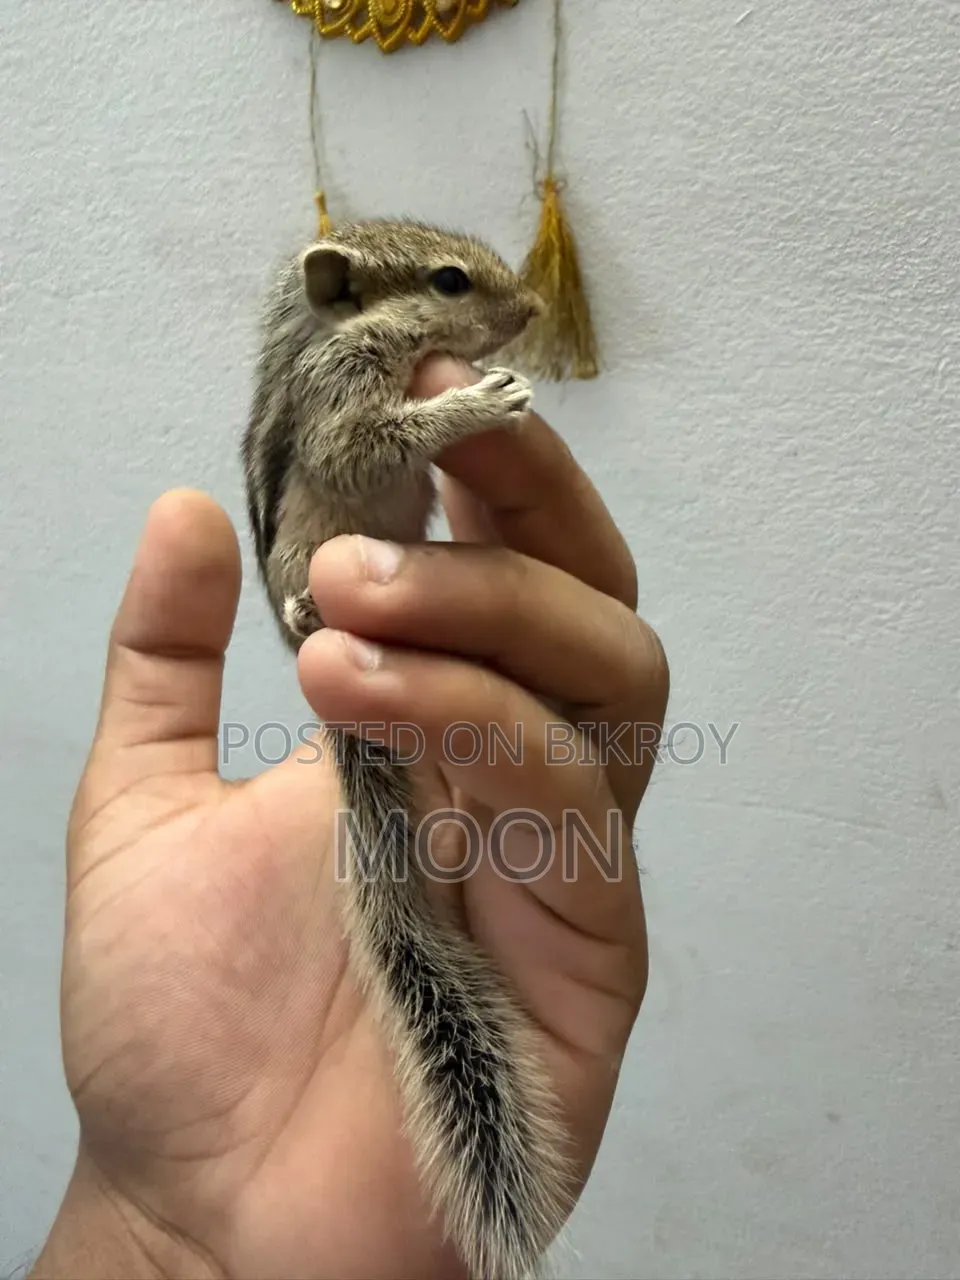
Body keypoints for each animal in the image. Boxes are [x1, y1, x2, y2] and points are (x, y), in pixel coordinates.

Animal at [241, 220, 572, 1280]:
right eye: (450, 281)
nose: (533, 311)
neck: (354, 330)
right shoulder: (338, 399)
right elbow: (369, 442)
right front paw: (480, 401)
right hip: (304, 568)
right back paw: (310, 612)